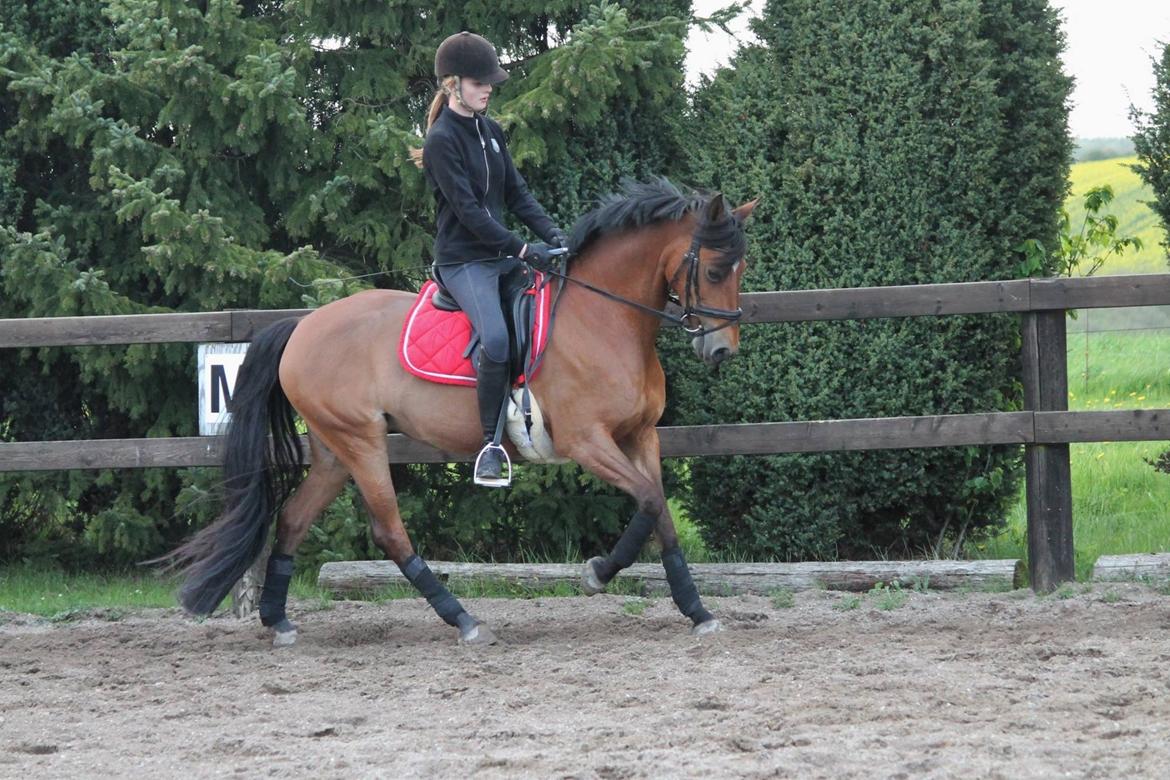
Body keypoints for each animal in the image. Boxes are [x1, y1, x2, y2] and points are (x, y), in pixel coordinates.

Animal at [165, 178, 757, 646]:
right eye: (714, 269)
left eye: (741, 267)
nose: (720, 351)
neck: (606, 318)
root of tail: (301, 326)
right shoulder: (586, 441)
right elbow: (651, 501)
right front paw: (599, 574)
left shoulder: (641, 436)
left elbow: (657, 512)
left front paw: (694, 609)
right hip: (361, 441)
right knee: (388, 531)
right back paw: (465, 621)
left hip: (334, 450)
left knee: (292, 519)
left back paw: (277, 620)